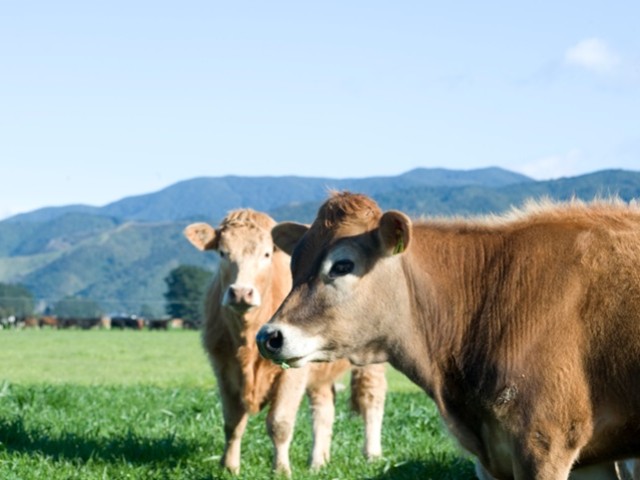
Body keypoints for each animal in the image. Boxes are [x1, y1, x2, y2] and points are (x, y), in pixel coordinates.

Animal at [184, 208, 384, 474]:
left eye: (266, 254)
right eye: (222, 253)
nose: (241, 292)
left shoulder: (292, 373)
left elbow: (279, 423)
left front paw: (280, 470)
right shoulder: (223, 368)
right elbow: (232, 422)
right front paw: (229, 467)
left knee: (371, 396)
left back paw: (372, 454)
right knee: (323, 407)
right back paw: (318, 462)